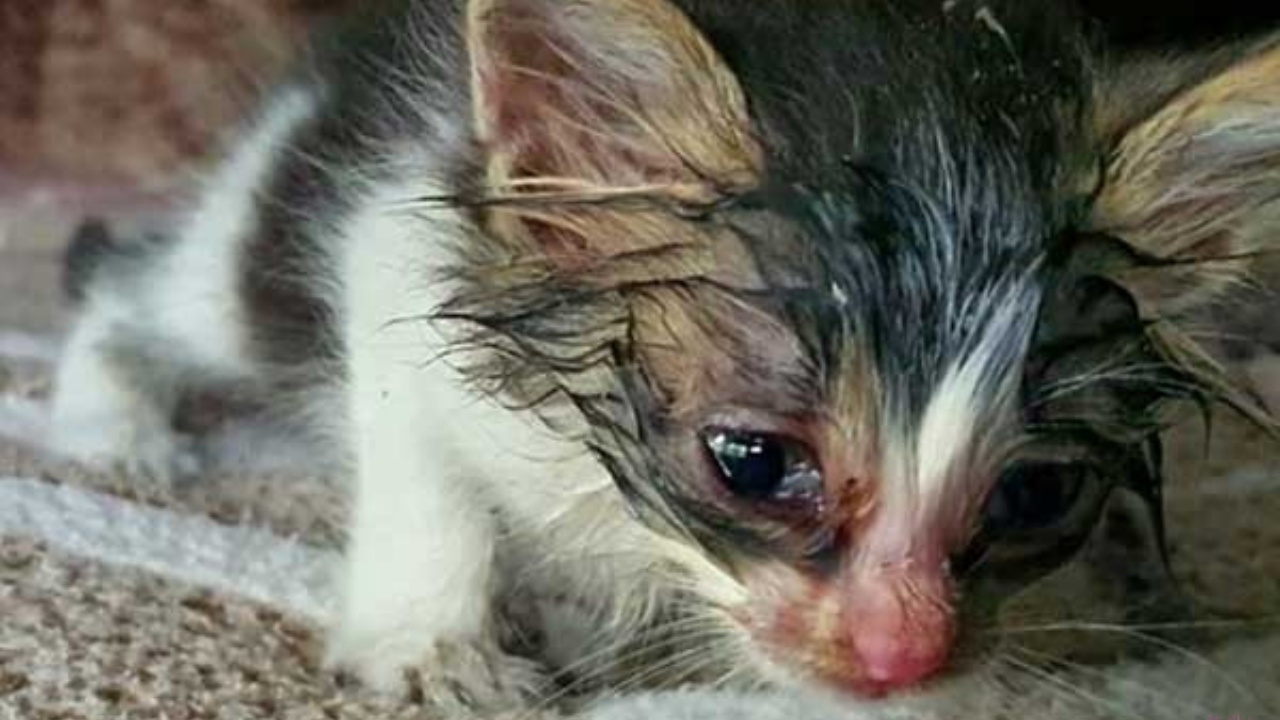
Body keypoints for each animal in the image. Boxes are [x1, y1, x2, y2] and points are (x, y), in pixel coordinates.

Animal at [42, 0, 1280, 707]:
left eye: (1036, 493)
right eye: (751, 462)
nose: (900, 658)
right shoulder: (394, 232)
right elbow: (421, 463)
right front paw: (432, 643)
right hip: (250, 248)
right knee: (132, 287)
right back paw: (113, 427)